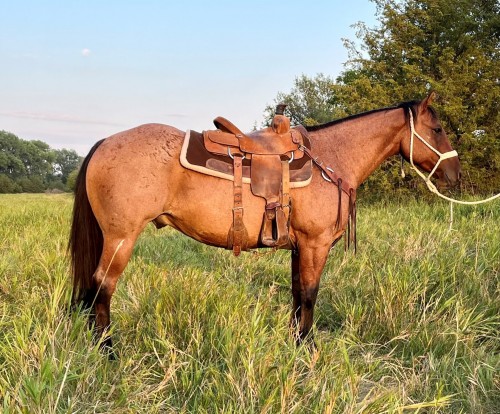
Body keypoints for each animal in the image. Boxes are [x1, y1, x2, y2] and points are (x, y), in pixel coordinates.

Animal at [69, 93, 460, 350]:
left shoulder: (299, 248)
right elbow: (311, 295)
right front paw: (307, 347)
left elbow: (297, 294)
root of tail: (105, 142)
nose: (455, 174)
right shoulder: (315, 245)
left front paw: (294, 342)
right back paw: (107, 350)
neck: (331, 157)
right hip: (121, 238)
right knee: (102, 287)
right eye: (438, 128)